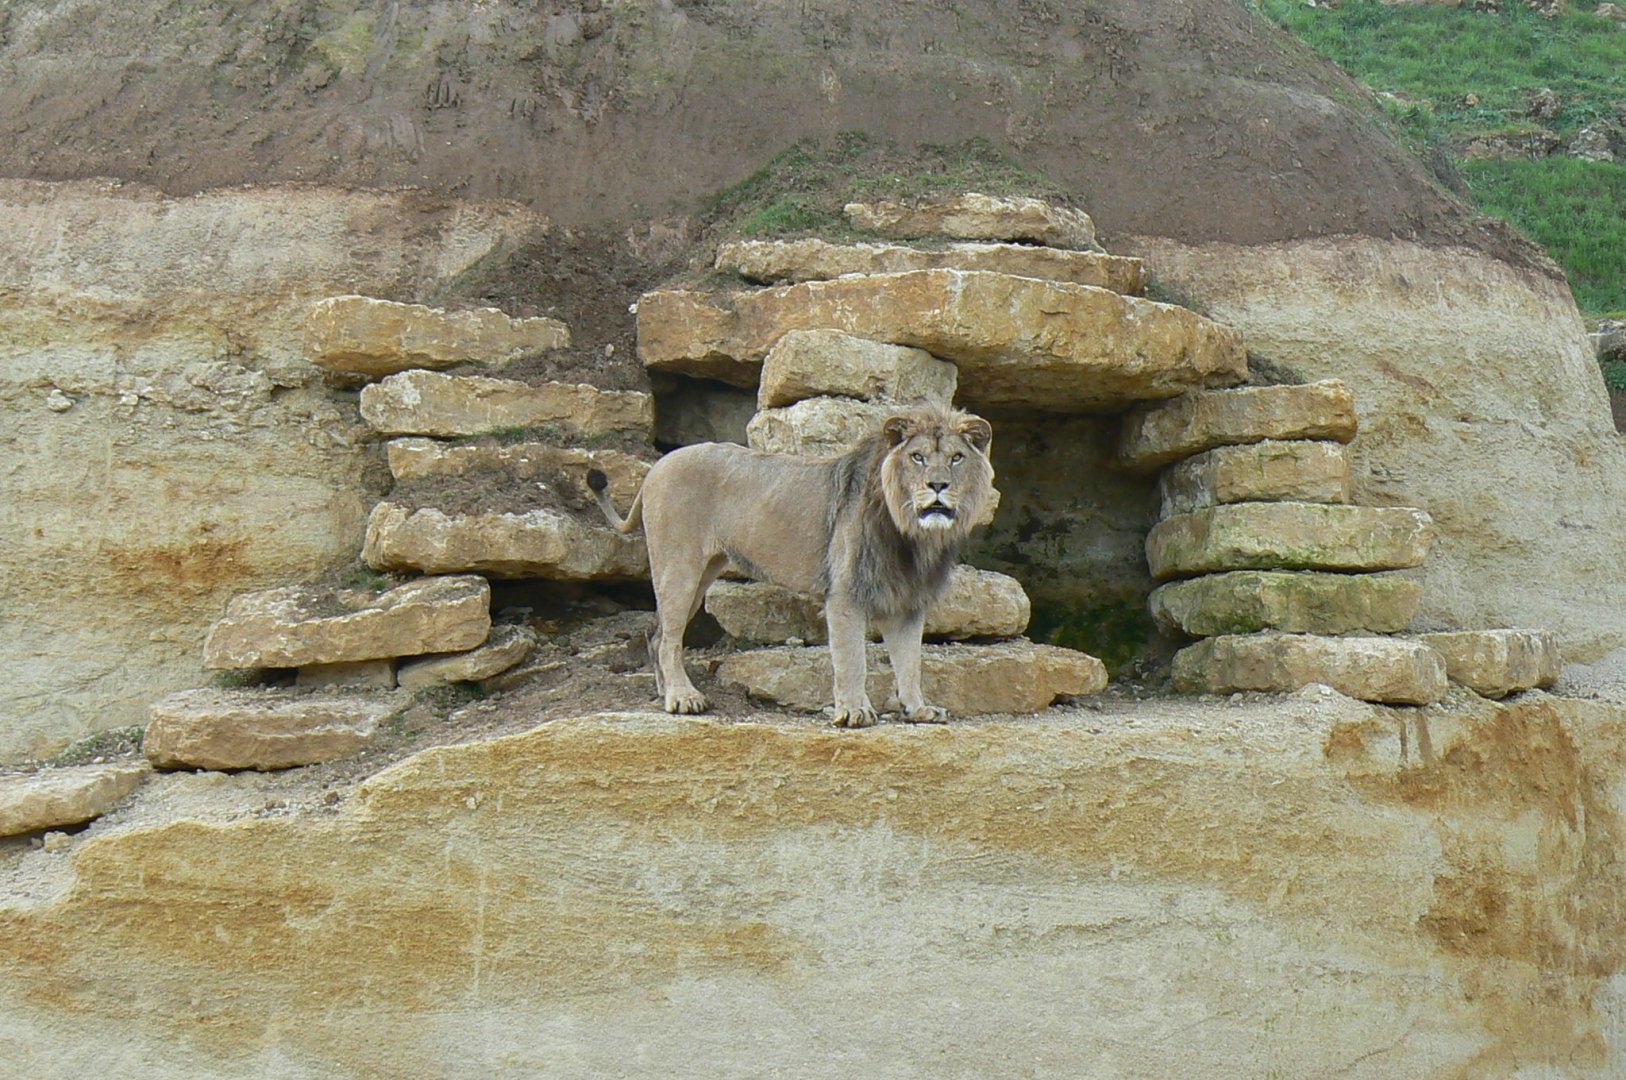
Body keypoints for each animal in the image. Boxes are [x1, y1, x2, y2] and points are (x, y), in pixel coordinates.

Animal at [587, 403, 995, 727]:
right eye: (918, 457)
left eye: (956, 458)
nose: (938, 485)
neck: (914, 536)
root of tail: (656, 467)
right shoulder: (845, 596)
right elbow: (852, 659)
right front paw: (854, 712)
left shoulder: (907, 602)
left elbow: (910, 662)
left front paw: (919, 709)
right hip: (679, 568)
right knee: (670, 639)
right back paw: (683, 698)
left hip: (701, 574)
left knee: (657, 637)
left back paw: (666, 694)